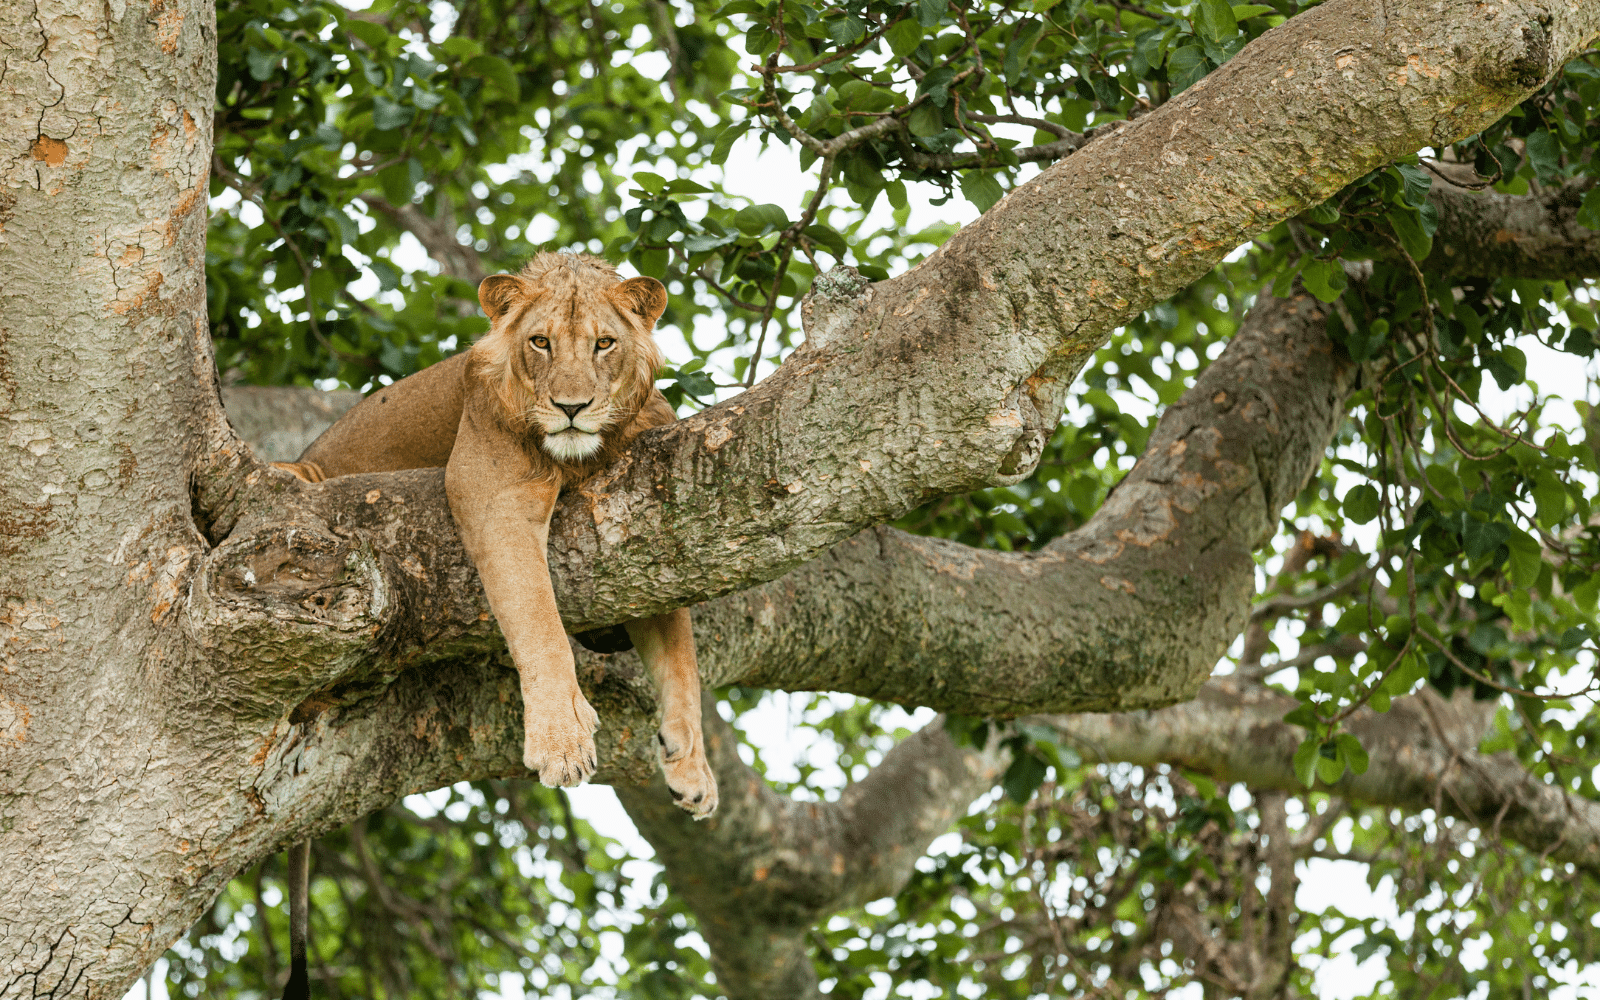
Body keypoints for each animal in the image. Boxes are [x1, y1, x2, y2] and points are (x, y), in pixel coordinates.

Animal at [271, 252, 718, 813]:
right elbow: (538, 621)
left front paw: (692, 766)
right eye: (541, 342)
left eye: (604, 343)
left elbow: (682, 658)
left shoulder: (656, 527)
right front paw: (561, 741)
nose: (572, 407)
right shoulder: (495, 500)